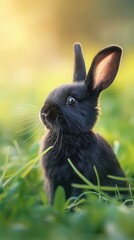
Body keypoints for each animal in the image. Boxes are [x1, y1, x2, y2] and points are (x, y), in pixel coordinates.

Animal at [40, 42, 128, 202]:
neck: (69, 135)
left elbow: (76, 196)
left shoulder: (81, 180)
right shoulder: (53, 181)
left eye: (72, 101)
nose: (44, 111)